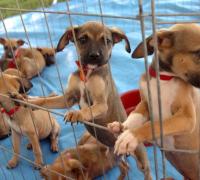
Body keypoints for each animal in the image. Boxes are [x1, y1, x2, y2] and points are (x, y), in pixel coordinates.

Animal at [20, 21, 152, 179]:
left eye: (107, 41)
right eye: (83, 39)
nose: (94, 56)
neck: (87, 72)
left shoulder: (101, 104)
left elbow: (88, 109)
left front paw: (77, 114)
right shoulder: (68, 98)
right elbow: (46, 101)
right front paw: (30, 102)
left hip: (140, 159)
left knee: (147, 172)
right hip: (113, 155)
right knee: (124, 167)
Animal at [108, 23, 200, 179]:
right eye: (199, 53)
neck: (163, 78)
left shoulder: (187, 117)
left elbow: (154, 125)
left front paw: (130, 136)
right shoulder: (145, 103)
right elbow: (135, 115)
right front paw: (122, 126)